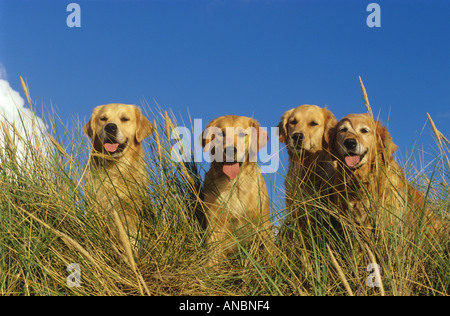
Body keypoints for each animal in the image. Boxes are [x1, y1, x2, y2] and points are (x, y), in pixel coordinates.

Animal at [200, 115, 274, 266]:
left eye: (241, 134)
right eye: (221, 133)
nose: (229, 150)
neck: (234, 184)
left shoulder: (262, 222)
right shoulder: (215, 223)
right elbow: (213, 255)